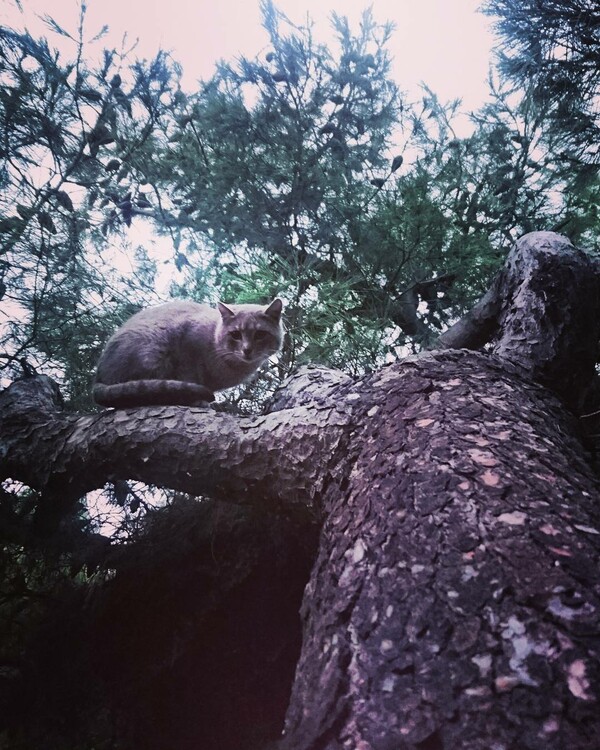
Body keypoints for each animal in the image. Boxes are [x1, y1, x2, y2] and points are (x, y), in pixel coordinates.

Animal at [93, 296, 284, 408]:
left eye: (260, 334)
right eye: (236, 334)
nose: (247, 350)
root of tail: (98, 376)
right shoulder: (188, 351)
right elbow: (190, 377)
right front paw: (198, 401)